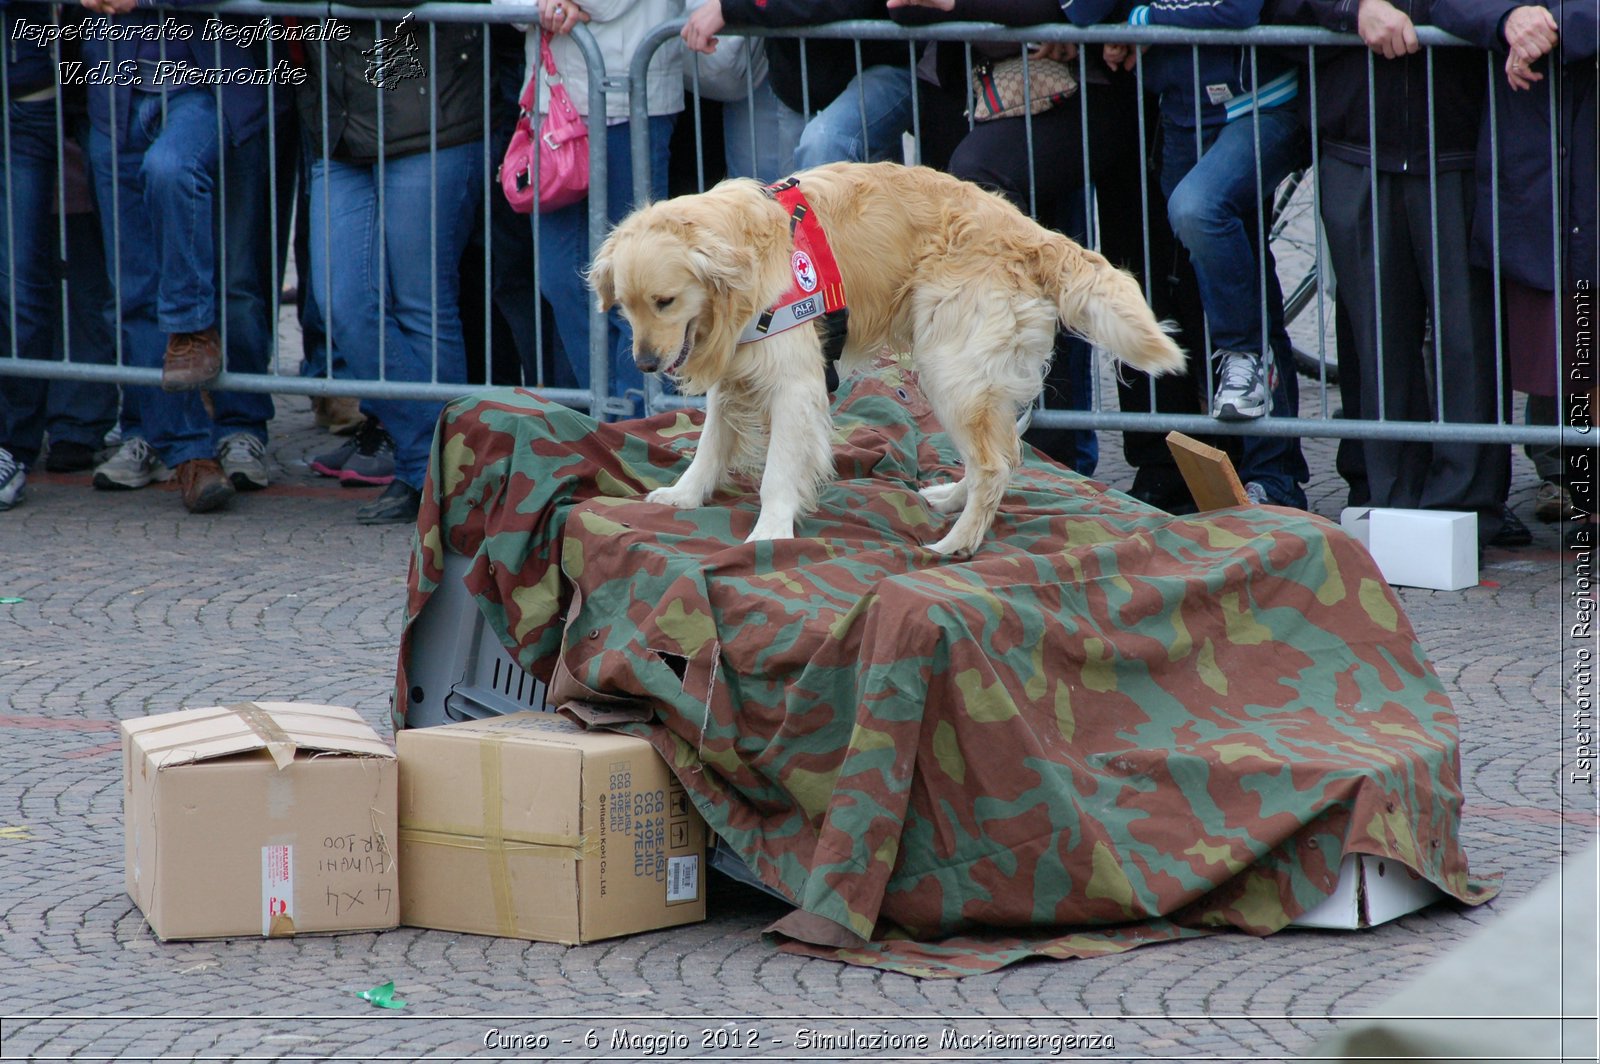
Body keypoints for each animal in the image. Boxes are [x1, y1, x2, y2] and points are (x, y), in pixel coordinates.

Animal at [592, 160, 1190, 556]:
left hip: (951, 368)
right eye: (624, 306)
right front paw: (685, 494)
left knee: (995, 465)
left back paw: (955, 544)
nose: (645, 365)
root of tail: (1032, 234)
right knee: (1001, 455)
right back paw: (950, 501)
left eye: (665, 301)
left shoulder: (794, 384)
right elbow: (711, 443)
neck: (747, 262)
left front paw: (770, 533)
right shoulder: (735, 371)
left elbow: (778, 469)